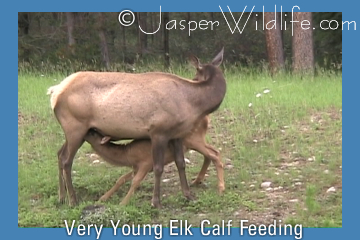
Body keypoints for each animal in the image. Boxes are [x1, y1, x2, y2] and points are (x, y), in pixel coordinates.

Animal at [47, 47, 226, 208]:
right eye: (196, 76)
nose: (194, 79)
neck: (191, 103)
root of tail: (55, 92)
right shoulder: (158, 131)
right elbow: (158, 167)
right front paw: (156, 202)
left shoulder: (177, 134)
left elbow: (181, 163)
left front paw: (189, 195)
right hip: (75, 127)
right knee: (66, 160)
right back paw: (73, 200)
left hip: (74, 131)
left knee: (59, 153)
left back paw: (61, 197)